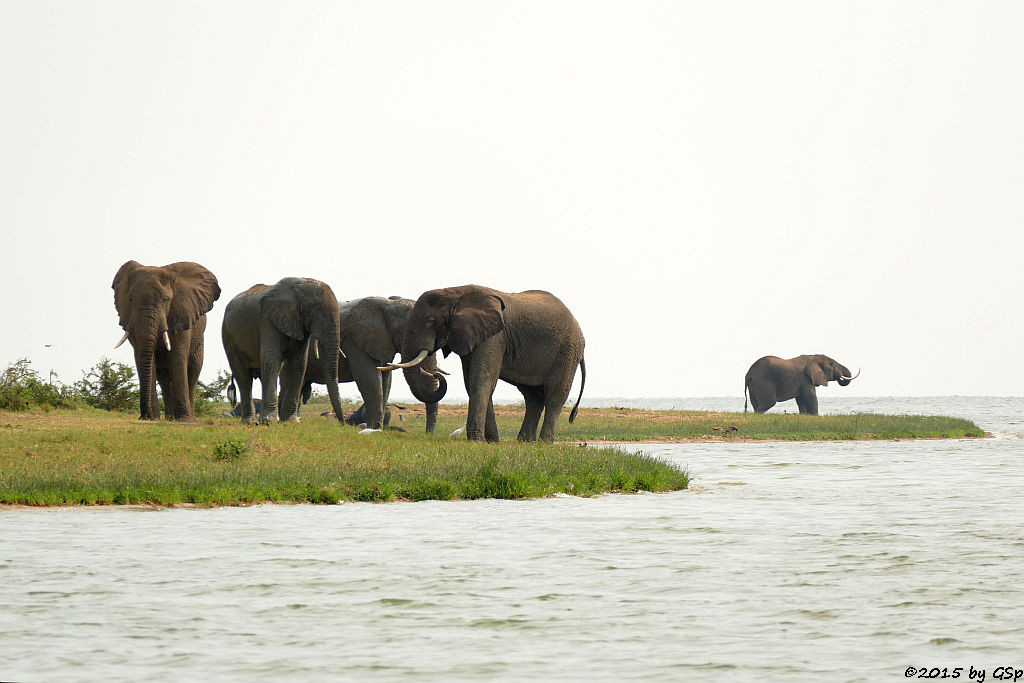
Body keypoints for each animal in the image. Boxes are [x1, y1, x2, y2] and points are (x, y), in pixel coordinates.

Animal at [112, 262, 220, 421]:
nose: (144, 415)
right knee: (164, 378)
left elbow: (177, 357)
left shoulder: (183, 315)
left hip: (199, 341)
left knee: (192, 372)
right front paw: (153, 418)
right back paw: (170, 418)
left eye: (166, 299)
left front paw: (184, 420)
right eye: (130, 299)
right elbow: (144, 358)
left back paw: (189, 418)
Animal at [299, 294, 438, 432]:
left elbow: (386, 381)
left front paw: (376, 428)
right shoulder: (355, 341)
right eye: (411, 331)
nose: (428, 434)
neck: (390, 306)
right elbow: (370, 380)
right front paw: (374, 428)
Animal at [382, 284, 589, 440]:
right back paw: (524, 442)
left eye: (430, 321)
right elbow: (471, 382)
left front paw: (477, 440)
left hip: (567, 351)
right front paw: (491, 442)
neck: (456, 292)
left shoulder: (495, 336)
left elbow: (481, 379)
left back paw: (543, 443)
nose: (436, 373)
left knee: (555, 394)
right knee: (533, 396)